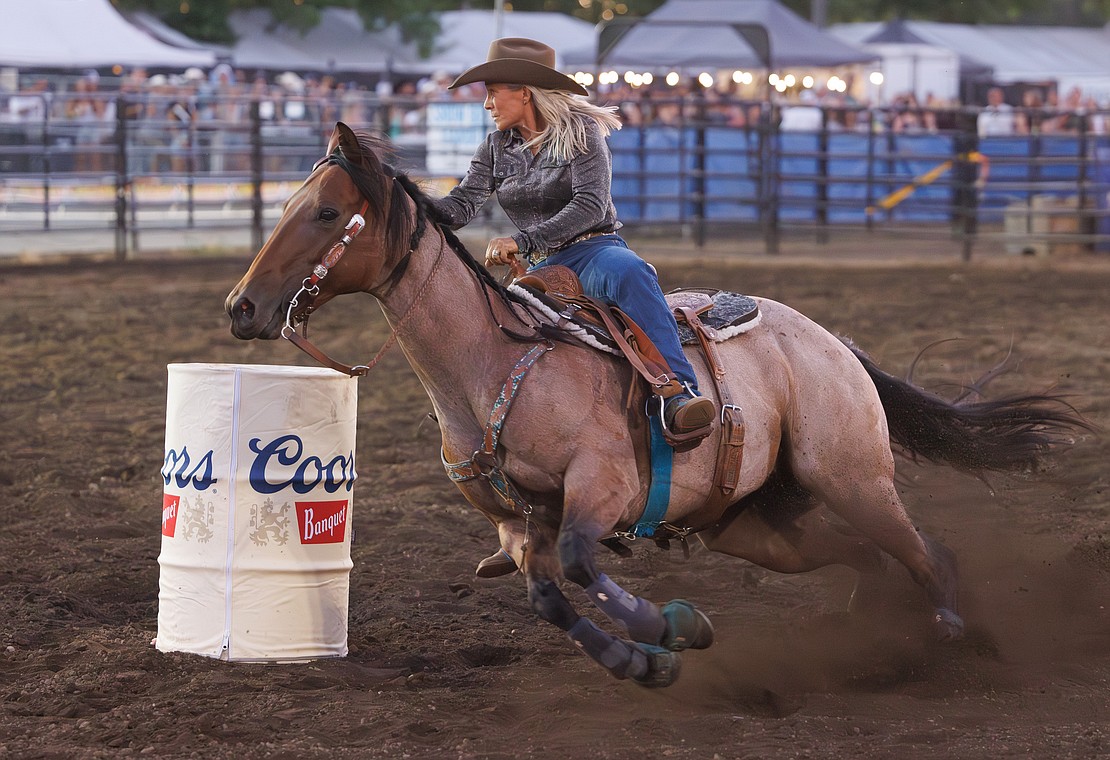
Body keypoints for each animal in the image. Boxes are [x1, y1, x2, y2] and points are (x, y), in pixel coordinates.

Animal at [223, 121, 1083, 683]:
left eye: (326, 212)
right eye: (291, 205)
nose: (242, 307)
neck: (490, 366)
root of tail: (833, 344)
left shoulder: (601, 487)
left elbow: (580, 564)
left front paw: (668, 628)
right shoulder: (517, 524)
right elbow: (548, 596)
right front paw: (644, 661)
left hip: (853, 477)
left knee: (923, 550)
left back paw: (953, 634)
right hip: (758, 526)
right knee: (867, 557)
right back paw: (872, 633)